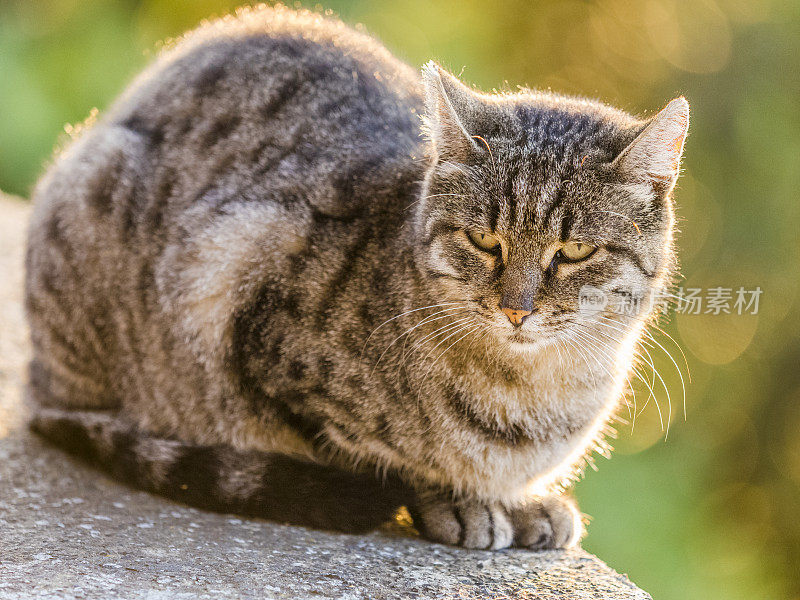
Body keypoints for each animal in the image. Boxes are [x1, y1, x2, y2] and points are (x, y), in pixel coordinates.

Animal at [26, 4, 688, 552]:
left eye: (573, 251)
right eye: (483, 240)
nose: (516, 308)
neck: (537, 394)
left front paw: (520, 503)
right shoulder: (242, 295)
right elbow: (390, 462)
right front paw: (459, 503)